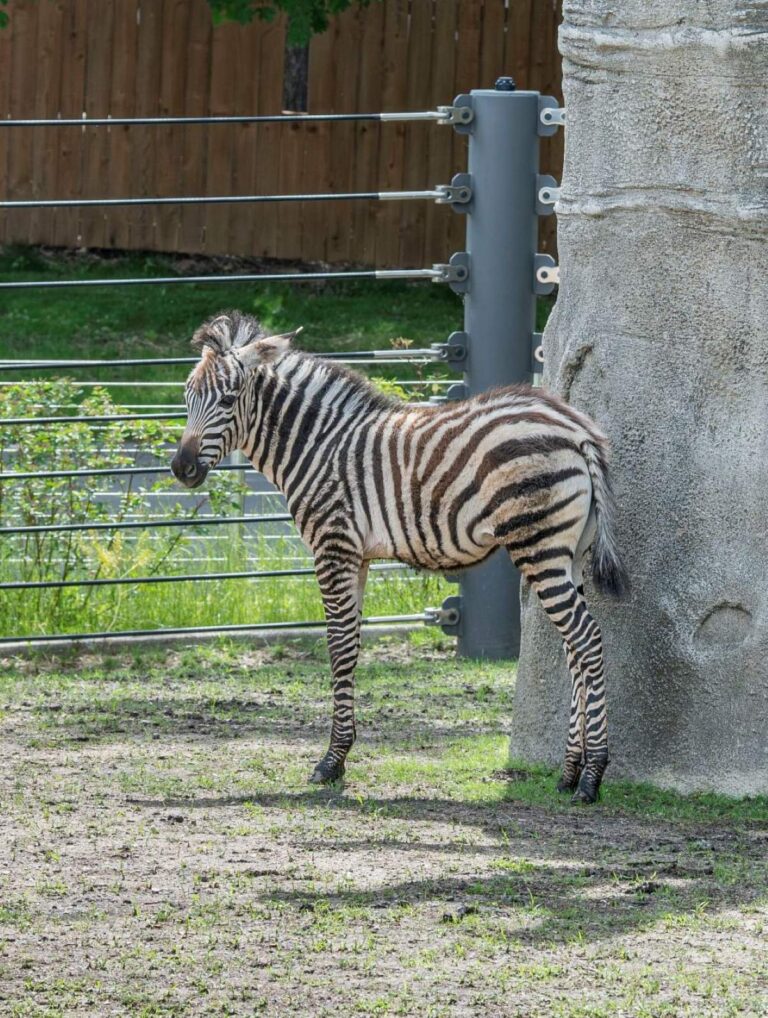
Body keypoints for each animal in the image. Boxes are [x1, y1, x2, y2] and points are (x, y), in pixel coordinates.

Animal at [171, 312, 628, 804]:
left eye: (228, 398)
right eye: (186, 395)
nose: (181, 468)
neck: (318, 445)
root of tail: (577, 429)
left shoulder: (333, 546)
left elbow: (338, 646)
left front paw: (331, 762)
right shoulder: (358, 556)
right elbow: (351, 644)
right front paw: (342, 754)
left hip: (539, 545)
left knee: (586, 639)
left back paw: (592, 776)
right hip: (571, 553)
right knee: (575, 649)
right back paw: (568, 772)